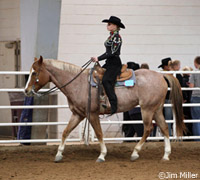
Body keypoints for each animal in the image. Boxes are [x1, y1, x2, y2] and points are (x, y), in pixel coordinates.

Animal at [24, 56, 186, 163]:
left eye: (34, 73)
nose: (26, 91)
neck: (78, 83)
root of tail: (161, 76)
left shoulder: (92, 115)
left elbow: (99, 133)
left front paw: (102, 155)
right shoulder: (78, 114)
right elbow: (65, 132)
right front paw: (58, 154)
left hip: (147, 109)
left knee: (147, 129)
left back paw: (135, 153)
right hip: (156, 109)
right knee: (164, 128)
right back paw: (165, 155)